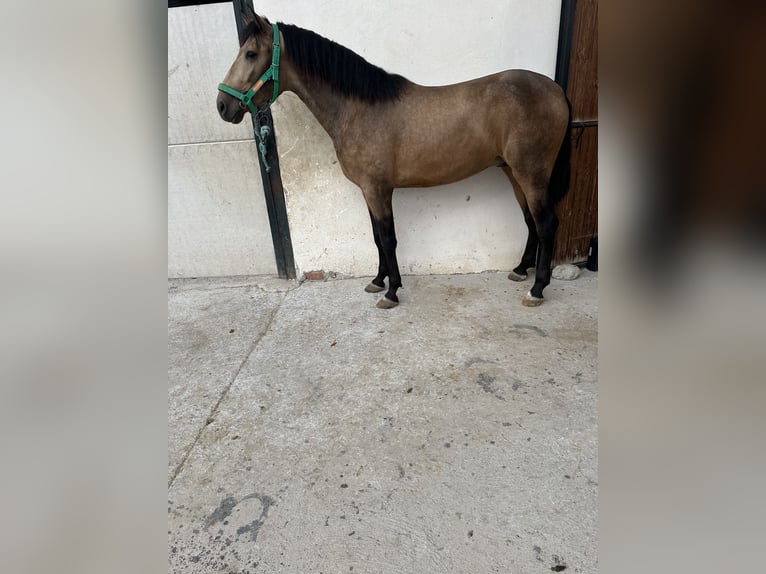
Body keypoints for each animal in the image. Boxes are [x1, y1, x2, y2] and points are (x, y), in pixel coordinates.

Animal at [216, 6, 568, 308]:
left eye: (250, 54)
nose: (222, 106)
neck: (359, 108)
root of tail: (555, 90)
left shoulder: (378, 189)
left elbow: (388, 239)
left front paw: (392, 291)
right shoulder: (369, 190)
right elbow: (376, 237)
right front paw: (378, 280)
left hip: (531, 173)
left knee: (547, 222)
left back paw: (537, 289)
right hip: (512, 171)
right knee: (530, 220)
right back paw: (521, 270)